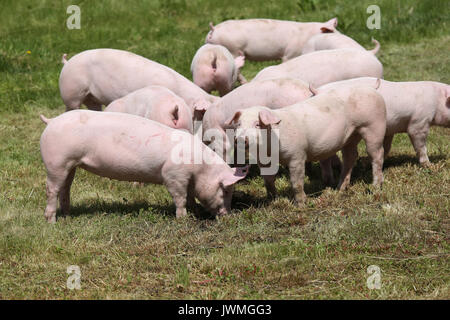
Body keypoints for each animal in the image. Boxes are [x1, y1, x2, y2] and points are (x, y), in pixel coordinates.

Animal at [39, 110, 250, 222]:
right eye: (225, 190)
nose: (228, 216)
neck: (201, 167)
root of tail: (51, 121)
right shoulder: (173, 175)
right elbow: (180, 198)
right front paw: (182, 219)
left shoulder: (188, 178)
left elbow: (190, 196)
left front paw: (195, 212)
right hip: (56, 161)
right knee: (51, 189)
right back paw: (52, 221)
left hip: (70, 164)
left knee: (65, 188)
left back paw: (67, 215)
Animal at [225, 85, 386, 202]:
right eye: (238, 124)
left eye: (257, 124)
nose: (241, 139)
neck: (271, 149)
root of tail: (372, 89)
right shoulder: (263, 161)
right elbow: (268, 181)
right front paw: (272, 200)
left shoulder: (297, 155)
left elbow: (296, 182)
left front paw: (301, 203)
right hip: (351, 136)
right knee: (350, 157)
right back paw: (340, 189)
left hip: (374, 126)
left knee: (377, 155)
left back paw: (375, 187)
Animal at [316, 77, 450, 166]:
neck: (437, 100)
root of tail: (317, 91)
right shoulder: (419, 121)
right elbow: (420, 144)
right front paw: (430, 166)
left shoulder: (390, 128)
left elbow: (387, 146)